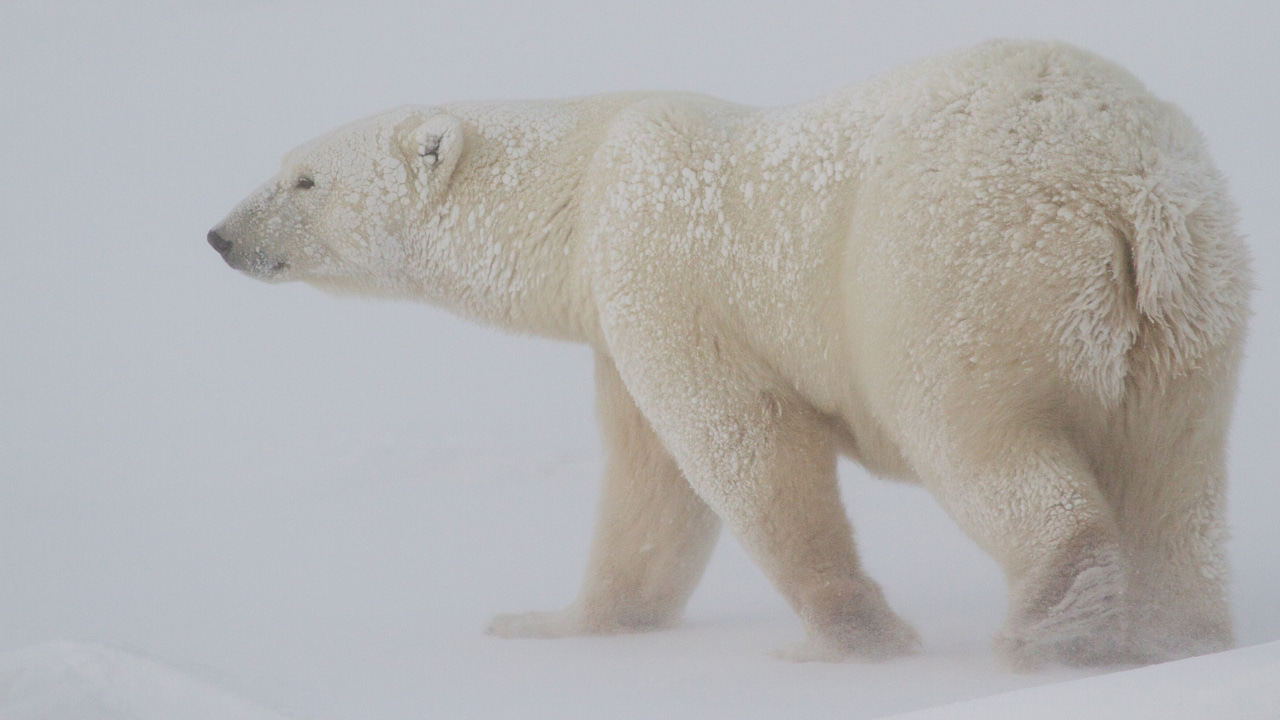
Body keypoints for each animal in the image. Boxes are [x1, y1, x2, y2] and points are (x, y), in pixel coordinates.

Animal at [208, 40, 1250, 668]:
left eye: (302, 177)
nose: (220, 234)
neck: (582, 182)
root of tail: (1133, 191)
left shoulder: (658, 258)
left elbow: (741, 443)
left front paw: (846, 640)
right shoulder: (617, 312)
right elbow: (650, 487)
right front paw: (548, 623)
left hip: (960, 271)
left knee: (975, 436)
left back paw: (1050, 632)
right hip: (1193, 312)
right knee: (1176, 475)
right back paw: (1181, 638)